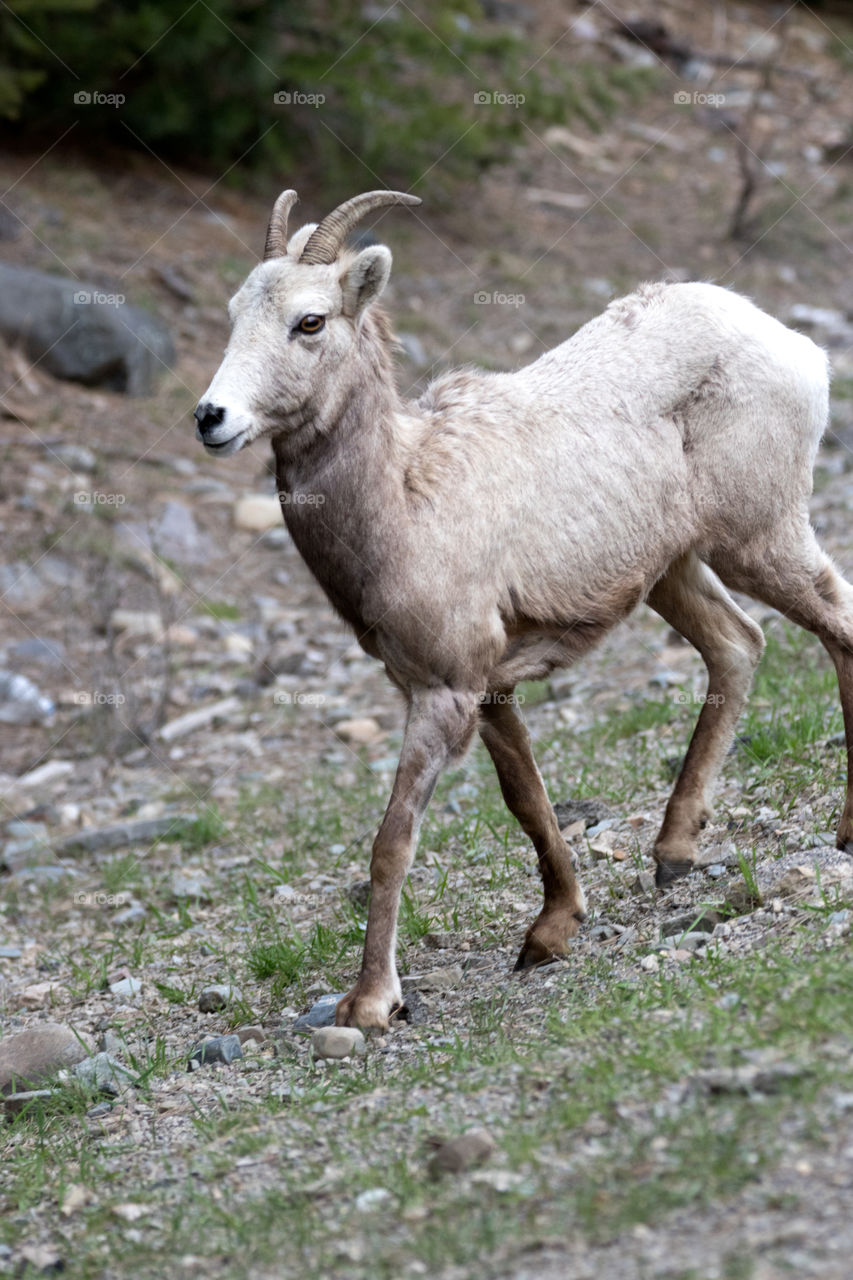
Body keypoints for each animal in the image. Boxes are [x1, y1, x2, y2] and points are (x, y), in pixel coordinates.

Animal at [194, 186, 845, 1029]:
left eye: (310, 321)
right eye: (236, 311)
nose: (211, 418)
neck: (406, 499)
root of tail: (795, 348)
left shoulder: (441, 694)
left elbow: (392, 839)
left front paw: (369, 1004)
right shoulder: (486, 688)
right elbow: (527, 800)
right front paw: (550, 932)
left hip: (760, 539)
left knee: (836, 624)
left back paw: (842, 828)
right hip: (675, 571)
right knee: (737, 645)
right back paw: (672, 855)